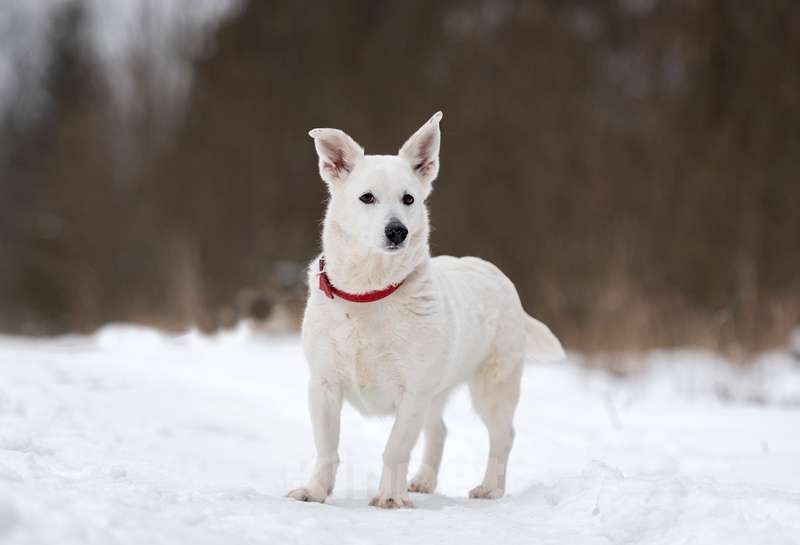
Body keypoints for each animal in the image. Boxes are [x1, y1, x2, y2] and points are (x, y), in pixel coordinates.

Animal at [288, 112, 564, 508]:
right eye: (367, 197)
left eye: (409, 199)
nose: (397, 231)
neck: (370, 293)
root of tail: (496, 274)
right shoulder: (324, 385)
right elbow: (327, 448)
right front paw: (314, 492)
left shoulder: (413, 393)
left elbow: (394, 449)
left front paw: (390, 497)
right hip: (438, 393)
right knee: (440, 431)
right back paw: (422, 481)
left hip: (493, 389)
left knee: (503, 436)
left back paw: (490, 488)